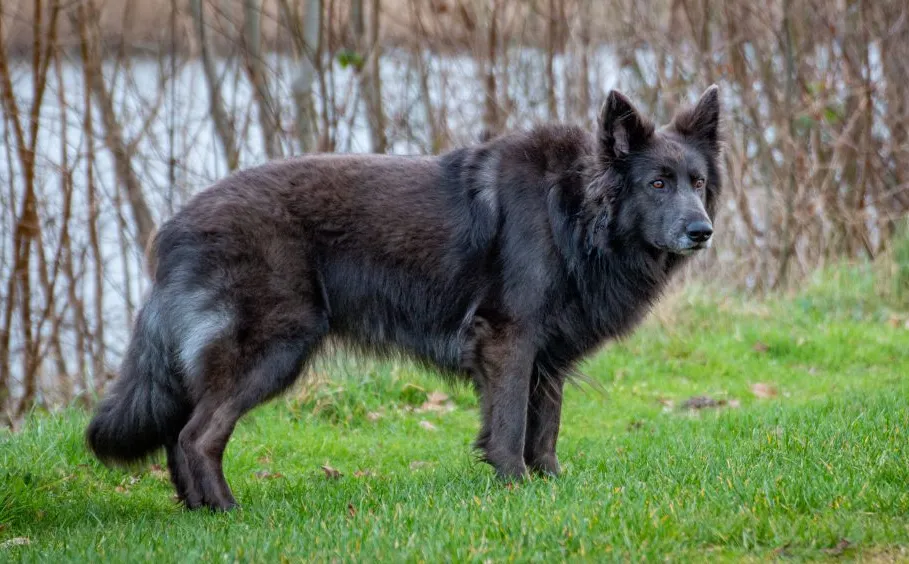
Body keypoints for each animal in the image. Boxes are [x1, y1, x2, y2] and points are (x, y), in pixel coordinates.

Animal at [85, 85, 724, 512]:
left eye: (696, 183)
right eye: (657, 183)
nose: (703, 231)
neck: (571, 210)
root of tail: (173, 227)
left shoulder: (547, 354)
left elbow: (545, 427)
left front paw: (549, 484)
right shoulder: (509, 340)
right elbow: (511, 423)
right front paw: (515, 487)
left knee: (177, 433)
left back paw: (197, 512)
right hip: (273, 349)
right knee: (196, 435)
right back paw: (226, 511)